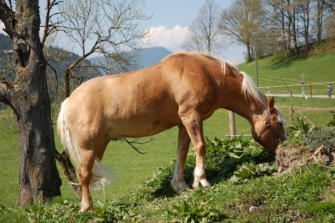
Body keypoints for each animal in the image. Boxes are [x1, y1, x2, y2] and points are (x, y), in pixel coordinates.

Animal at [56, 51, 288, 212]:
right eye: (278, 124)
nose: (283, 153)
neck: (205, 73)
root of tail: (68, 101)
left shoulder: (183, 123)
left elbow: (182, 152)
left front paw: (180, 185)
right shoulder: (191, 116)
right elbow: (200, 147)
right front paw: (201, 181)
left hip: (99, 145)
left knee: (88, 174)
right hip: (88, 147)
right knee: (84, 174)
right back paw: (87, 208)